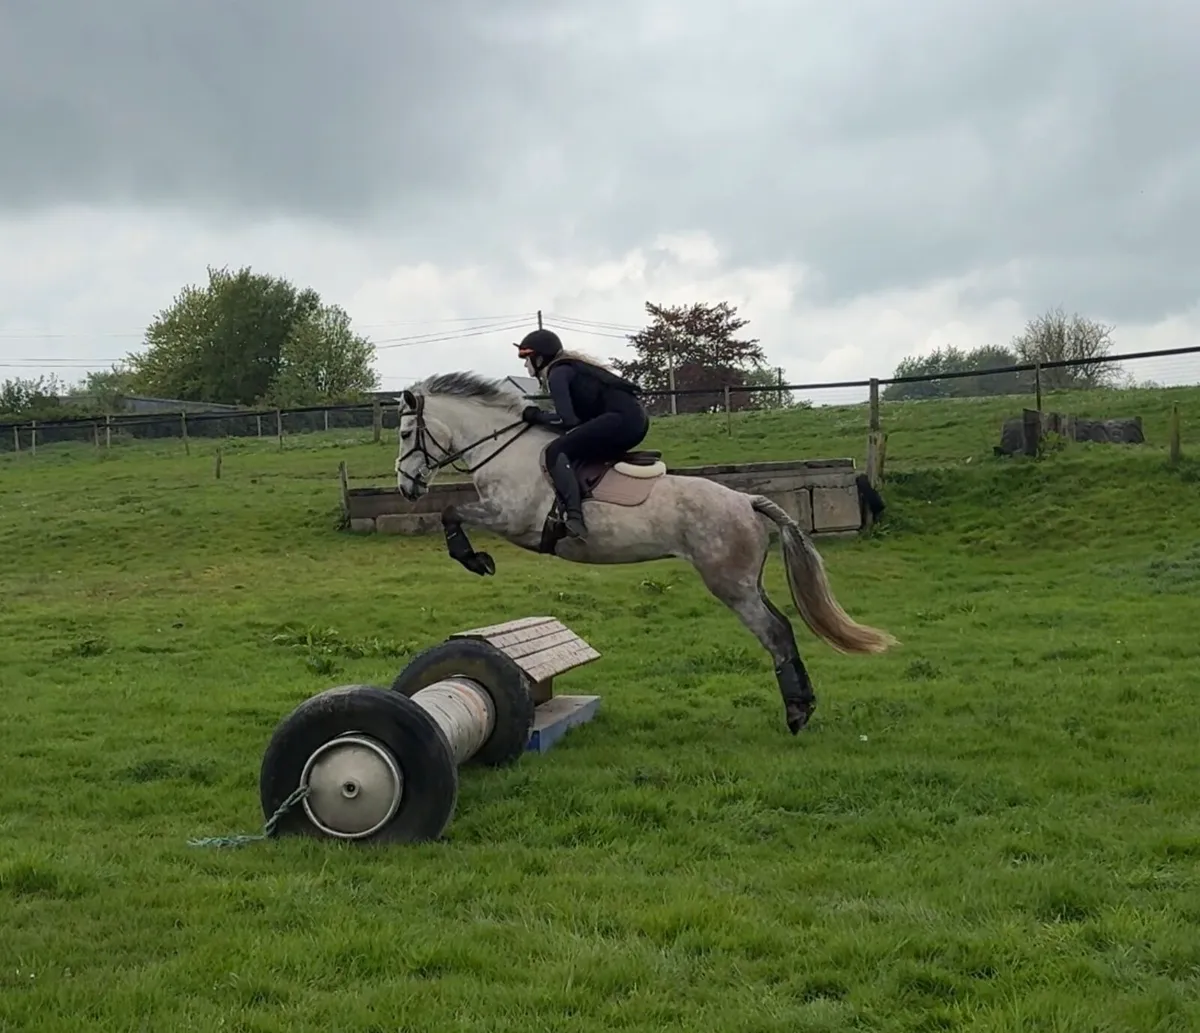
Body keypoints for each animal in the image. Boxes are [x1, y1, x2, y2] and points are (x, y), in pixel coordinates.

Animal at [393, 371, 898, 735]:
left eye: (402, 433)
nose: (405, 487)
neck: (502, 449)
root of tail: (747, 500)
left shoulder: (510, 518)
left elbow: (452, 513)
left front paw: (475, 560)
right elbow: (453, 512)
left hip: (730, 585)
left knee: (773, 632)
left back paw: (796, 713)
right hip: (745, 581)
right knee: (783, 628)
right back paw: (802, 706)